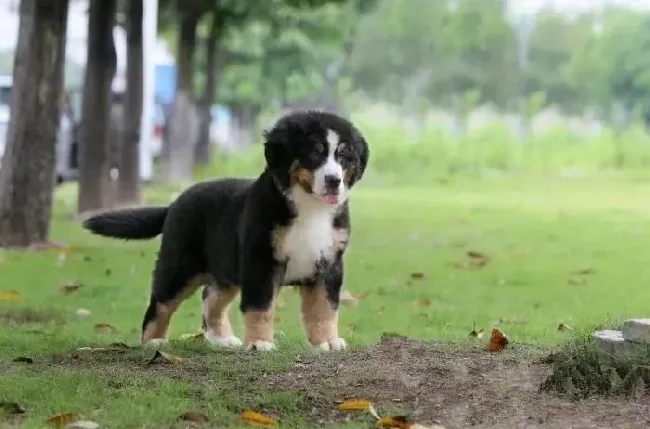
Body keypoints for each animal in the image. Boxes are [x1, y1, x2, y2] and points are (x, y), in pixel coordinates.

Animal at [81, 109, 368, 352]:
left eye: (344, 156)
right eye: (315, 153)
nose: (334, 181)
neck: (311, 209)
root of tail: (175, 203)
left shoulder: (329, 264)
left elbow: (325, 309)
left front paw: (327, 342)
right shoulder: (260, 260)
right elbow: (260, 306)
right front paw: (260, 343)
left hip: (225, 268)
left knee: (211, 297)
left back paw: (221, 339)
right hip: (180, 265)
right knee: (160, 303)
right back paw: (154, 341)